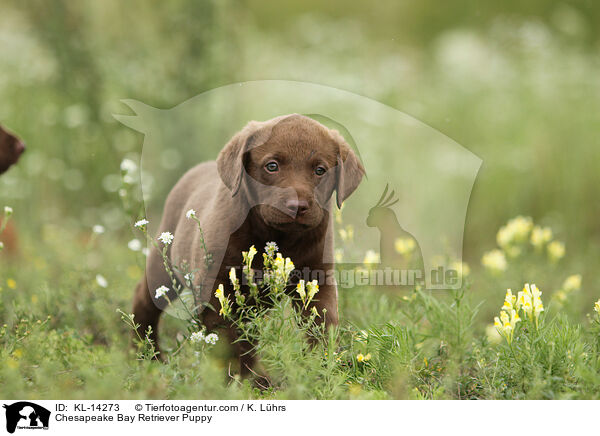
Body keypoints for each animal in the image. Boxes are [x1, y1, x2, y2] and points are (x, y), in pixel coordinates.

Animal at [133, 114, 364, 370]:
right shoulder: (216, 284)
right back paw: (145, 354)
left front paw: (322, 367)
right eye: (272, 166)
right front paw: (235, 376)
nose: (297, 206)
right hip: (164, 264)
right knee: (144, 301)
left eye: (320, 170)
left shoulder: (318, 277)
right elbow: (227, 339)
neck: (277, 237)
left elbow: (322, 326)